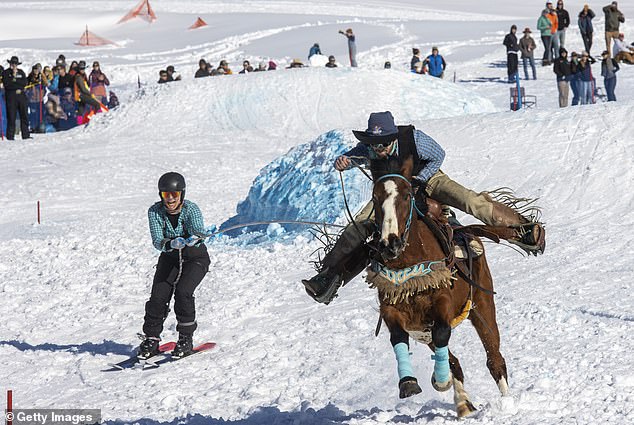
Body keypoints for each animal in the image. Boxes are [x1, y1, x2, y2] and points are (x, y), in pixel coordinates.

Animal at [366, 160, 508, 418]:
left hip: (482, 306)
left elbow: (442, 331)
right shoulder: (392, 308)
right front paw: (408, 382)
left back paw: (508, 402)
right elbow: (398, 336)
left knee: (494, 359)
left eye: (406, 196)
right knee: (455, 362)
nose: (390, 243)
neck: (409, 264)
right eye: (375, 197)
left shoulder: (442, 301)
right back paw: (463, 403)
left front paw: (441, 380)